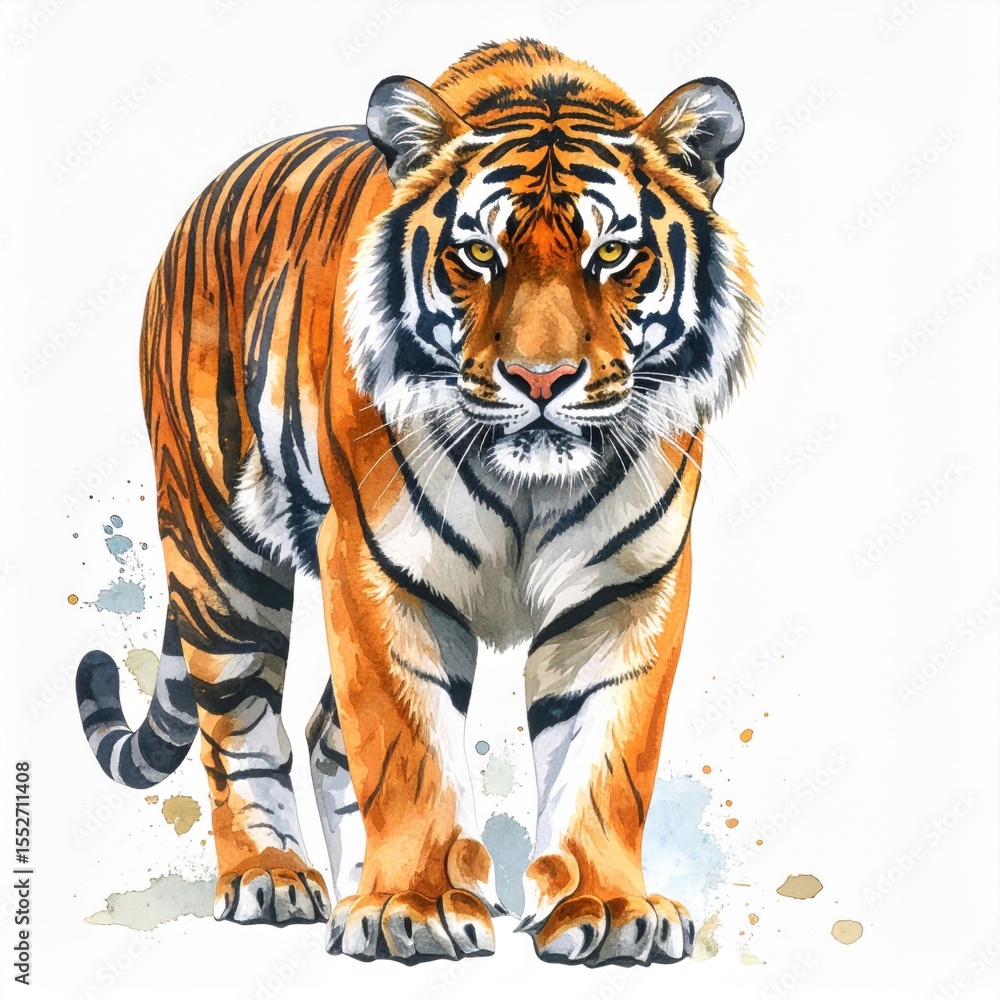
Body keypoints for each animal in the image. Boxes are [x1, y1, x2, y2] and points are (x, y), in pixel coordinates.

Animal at [76, 39, 759, 966]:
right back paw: (272, 877)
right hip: (218, 556)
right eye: (479, 255)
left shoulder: (626, 589)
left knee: (322, 733)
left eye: (612, 256)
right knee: (241, 722)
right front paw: (415, 906)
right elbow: (405, 751)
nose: (541, 379)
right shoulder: (375, 565)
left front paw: (610, 908)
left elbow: (607, 759)